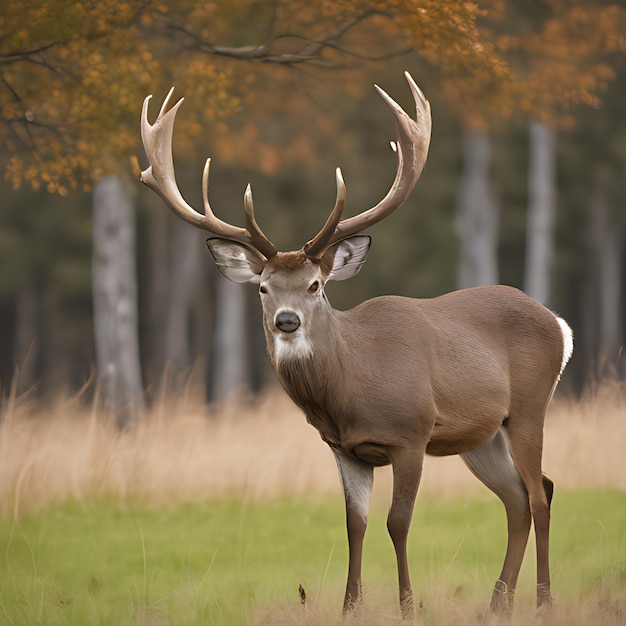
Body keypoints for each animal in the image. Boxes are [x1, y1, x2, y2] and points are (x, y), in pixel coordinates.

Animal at [140, 70, 572, 616]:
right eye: (262, 287)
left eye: (315, 286)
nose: (286, 321)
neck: (351, 390)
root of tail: (558, 323)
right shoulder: (344, 448)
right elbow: (355, 524)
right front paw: (350, 607)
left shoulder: (412, 433)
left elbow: (398, 522)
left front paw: (408, 606)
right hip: (481, 436)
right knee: (517, 500)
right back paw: (499, 604)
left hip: (530, 407)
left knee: (540, 493)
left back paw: (543, 602)